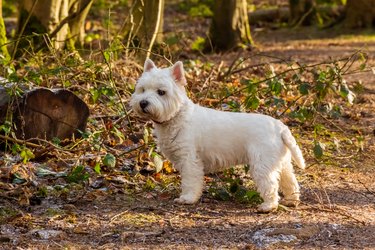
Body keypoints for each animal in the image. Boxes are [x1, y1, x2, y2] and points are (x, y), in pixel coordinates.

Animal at [131, 59, 306, 212]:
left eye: (161, 92)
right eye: (142, 89)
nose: (143, 103)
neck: (177, 116)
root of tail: (280, 127)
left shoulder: (189, 159)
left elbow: (190, 181)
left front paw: (188, 198)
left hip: (262, 163)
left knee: (270, 184)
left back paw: (268, 206)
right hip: (282, 162)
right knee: (290, 181)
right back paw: (292, 200)